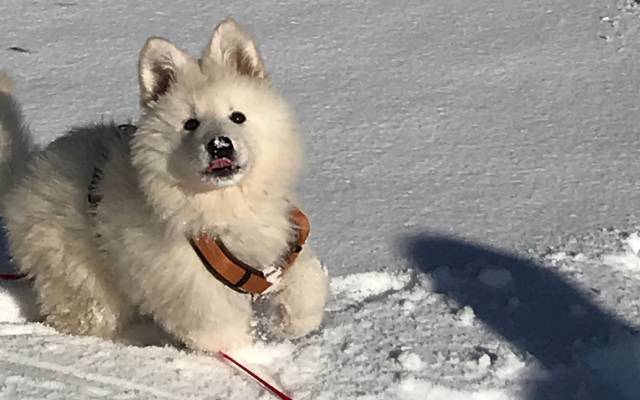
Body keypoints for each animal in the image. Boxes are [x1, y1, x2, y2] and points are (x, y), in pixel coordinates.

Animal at [0, 18, 328, 351]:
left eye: (238, 116)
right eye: (191, 124)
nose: (219, 145)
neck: (222, 203)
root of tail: (26, 174)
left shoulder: (275, 240)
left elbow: (308, 279)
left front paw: (290, 322)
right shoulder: (182, 278)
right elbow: (216, 326)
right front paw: (247, 354)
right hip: (78, 274)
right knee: (87, 316)